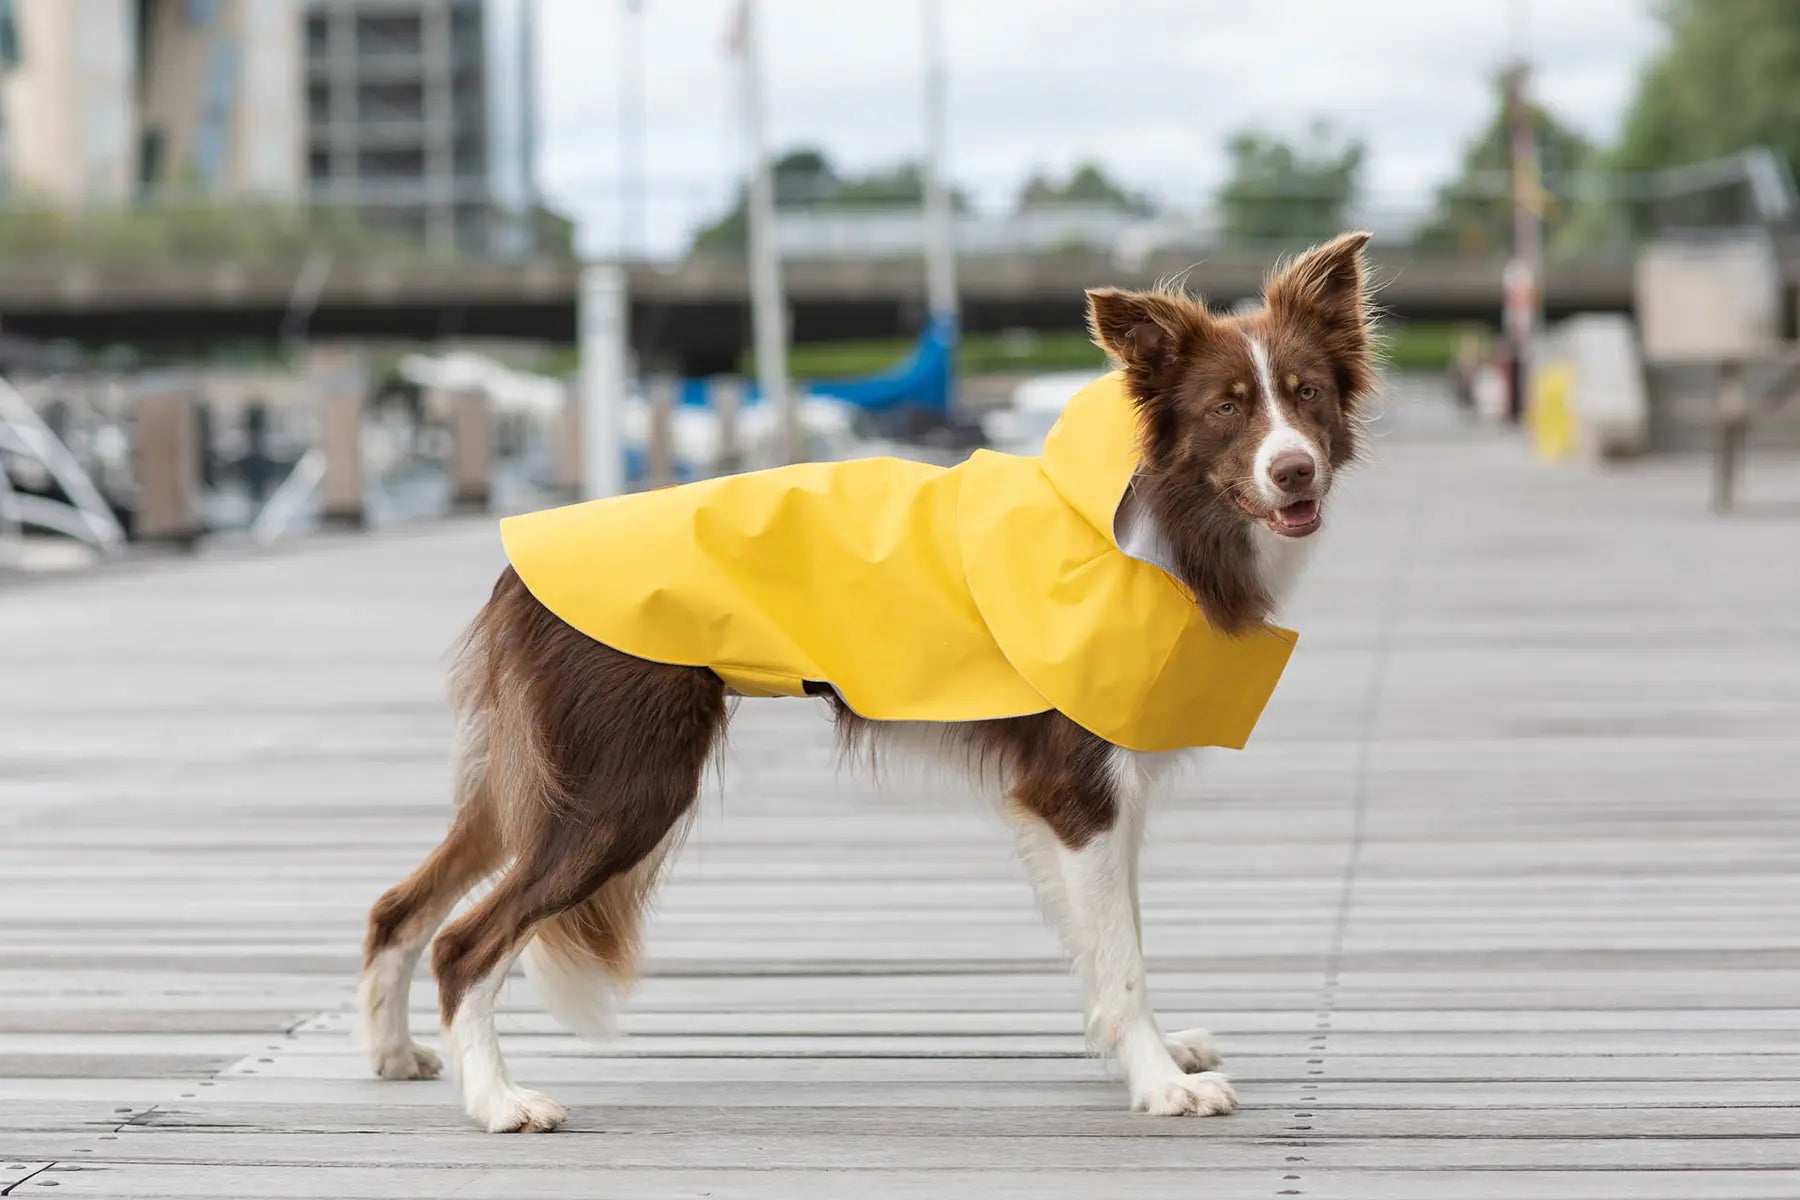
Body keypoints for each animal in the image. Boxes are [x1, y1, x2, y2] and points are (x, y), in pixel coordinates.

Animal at [361, 230, 1375, 1129]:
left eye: (1307, 395)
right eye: (1226, 410)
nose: (1295, 472)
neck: (1167, 524)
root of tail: (517, 563)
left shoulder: (1093, 801)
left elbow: (1106, 939)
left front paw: (1144, 1052)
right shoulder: (1080, 787)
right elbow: (1121, 955)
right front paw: (1162, 1084)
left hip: (535, 781)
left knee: (400, 905)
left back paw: (393, 1053)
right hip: (624, 786)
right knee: (463, 942)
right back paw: (499, 1103)